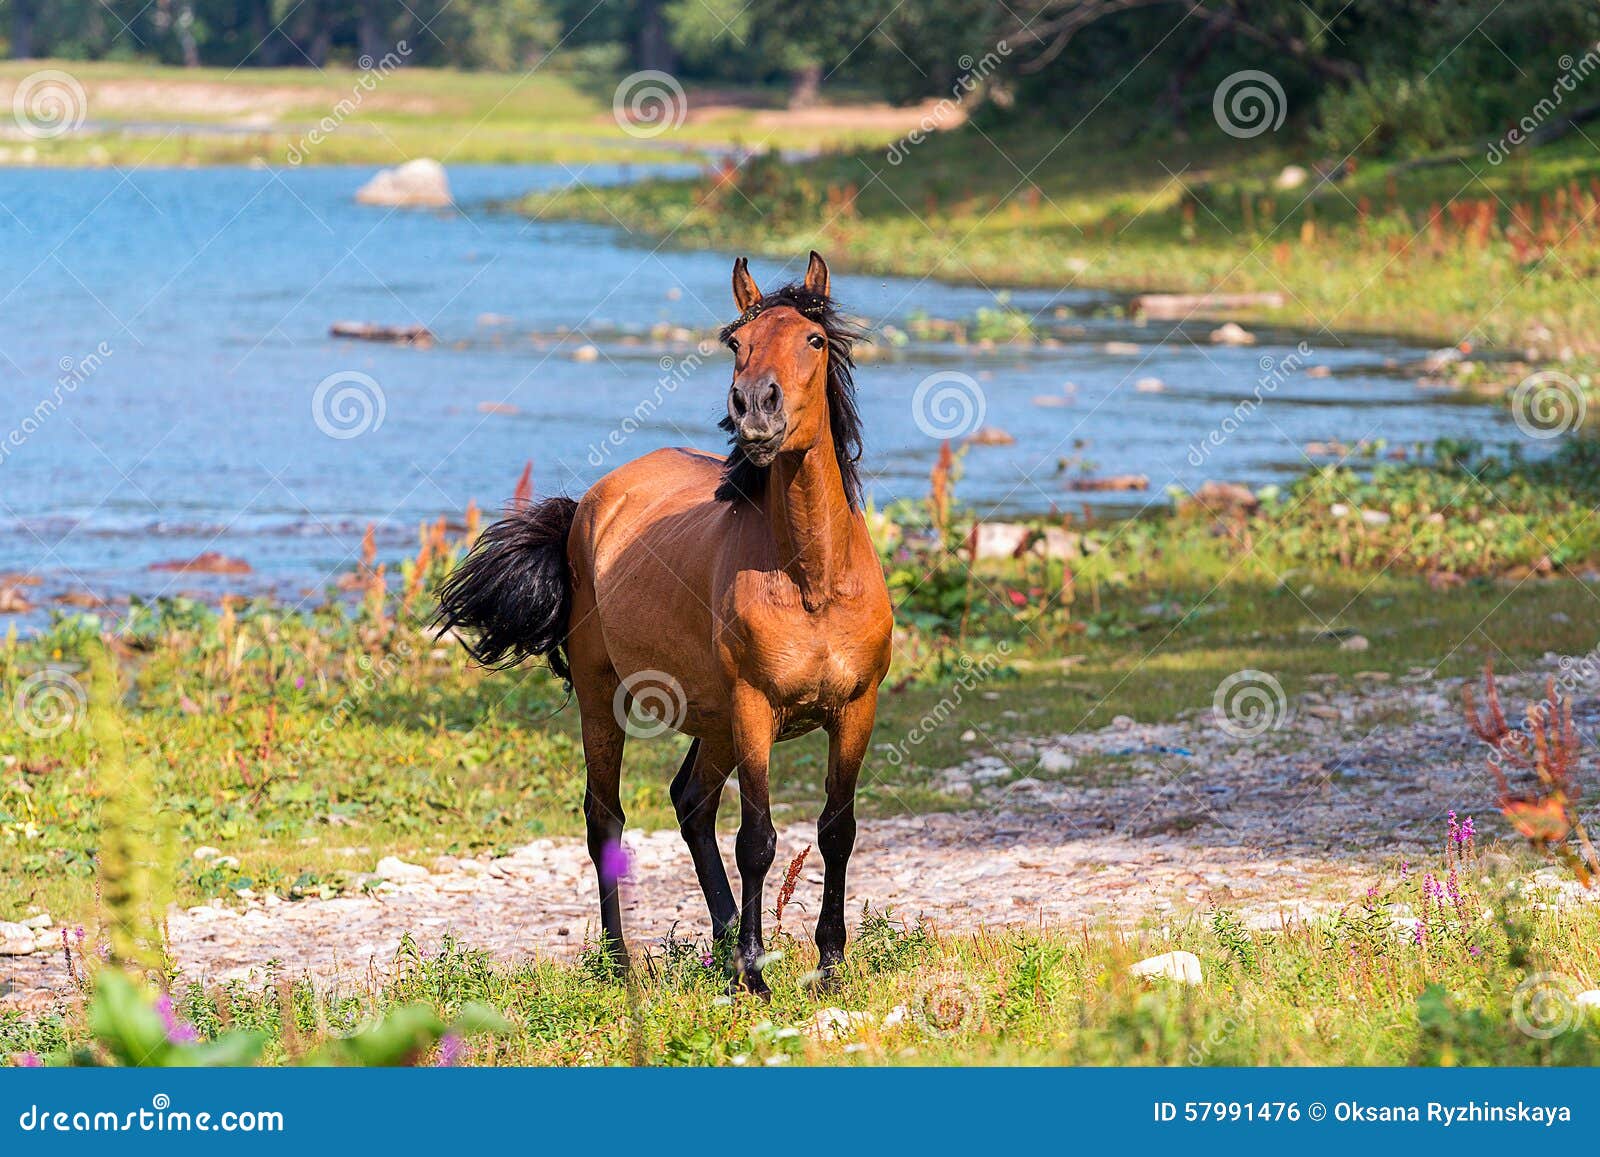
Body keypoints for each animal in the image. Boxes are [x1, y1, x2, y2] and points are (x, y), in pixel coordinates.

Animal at [435, 251, 892, 995]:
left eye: (815, 340)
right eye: (737, 343)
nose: (754, 407)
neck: (813, 580)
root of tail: (591, 504)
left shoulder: (856, 709)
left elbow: (836, 830)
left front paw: (826, 965)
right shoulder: (754, 708)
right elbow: (757, 839)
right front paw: (755, 977)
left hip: (713, 721)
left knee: (691, 802)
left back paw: (724, 937)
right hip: (608, 698)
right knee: (606, 818)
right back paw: (622, 960)